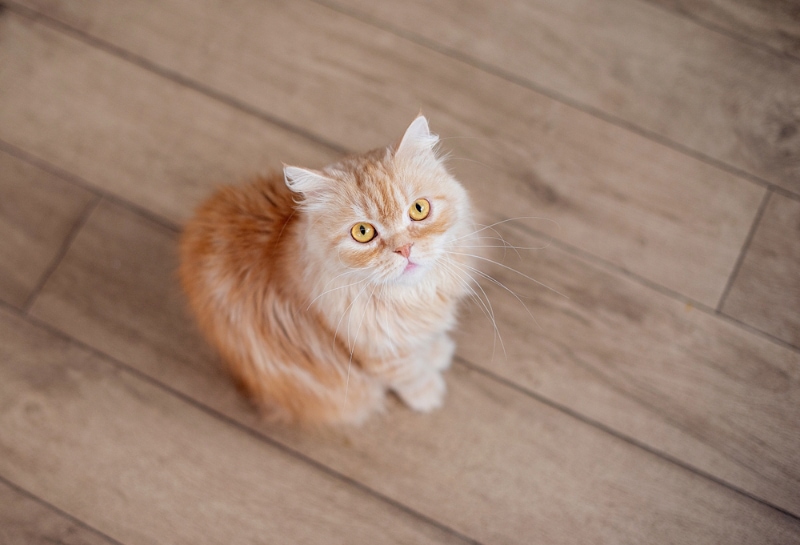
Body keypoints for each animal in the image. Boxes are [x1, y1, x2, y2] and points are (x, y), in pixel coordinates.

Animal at [178, 116, 476, 424]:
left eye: (418, 209)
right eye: (363, 232)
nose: (404, 248)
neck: (412, 298)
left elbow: (426, 342)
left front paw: (436, 351)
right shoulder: (375, 351)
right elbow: (408, 374)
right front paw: (428, 392)